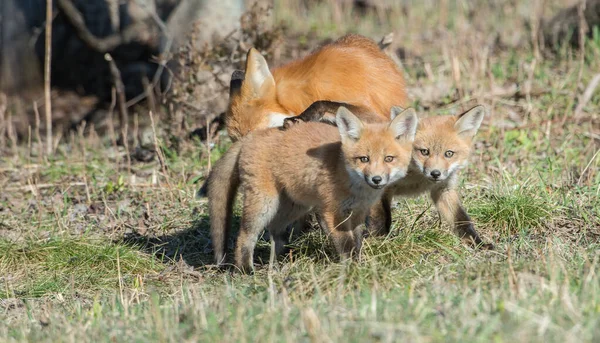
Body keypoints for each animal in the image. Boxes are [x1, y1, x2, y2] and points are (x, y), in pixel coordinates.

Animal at [202, 106, 418, 272]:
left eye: (389, 159)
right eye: (364, 159)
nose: (376, 179)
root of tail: (252, 136)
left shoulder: (357, 213)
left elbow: (356, 242)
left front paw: (358, 264)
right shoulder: (329, 212)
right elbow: (346, 244)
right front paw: (351, 269)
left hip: (296, 206)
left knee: (275, 230)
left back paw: (277, 262)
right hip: (265, 204)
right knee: (245, 236)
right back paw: (246, 270)